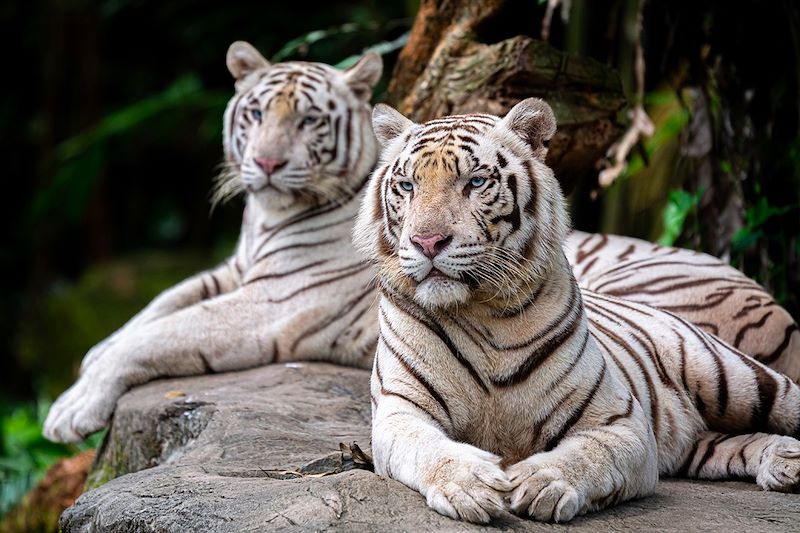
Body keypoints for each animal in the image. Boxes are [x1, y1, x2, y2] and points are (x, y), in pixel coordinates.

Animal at [356, 97, 800, 520]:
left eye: (476, 182)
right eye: (407, 186)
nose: (427, 242)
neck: (484, 310)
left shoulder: (620, 422)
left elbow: (591, 456)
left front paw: (543, 483)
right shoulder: (400, 412)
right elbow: (428, 447)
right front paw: (470, 484)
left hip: (734, 376)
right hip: (700, 442)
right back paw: (784, 461)